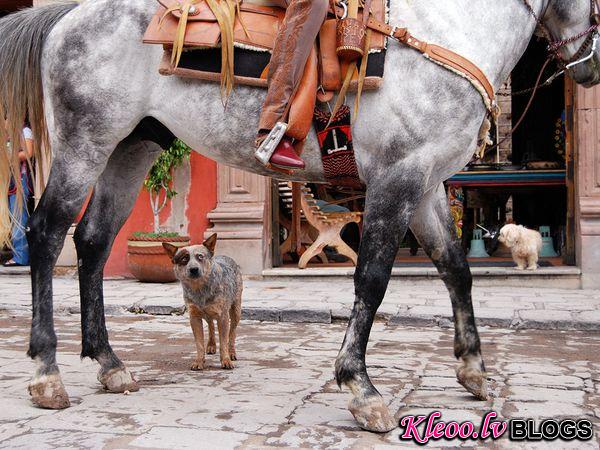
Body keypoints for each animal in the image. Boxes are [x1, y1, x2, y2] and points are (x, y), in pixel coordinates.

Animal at [163, 234, 243, 370]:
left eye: (200, 256)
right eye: (184, 259)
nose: (194, 269)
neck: (200, 289)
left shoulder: (223, 316)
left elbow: (224, 342)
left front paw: (226, 360)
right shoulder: (194, 316)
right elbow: (199, 343)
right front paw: (199, 361)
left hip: (236, 310)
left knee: (232, 332)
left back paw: (232, 352)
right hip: (206, 314)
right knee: (211, 325)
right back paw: (211, 345)